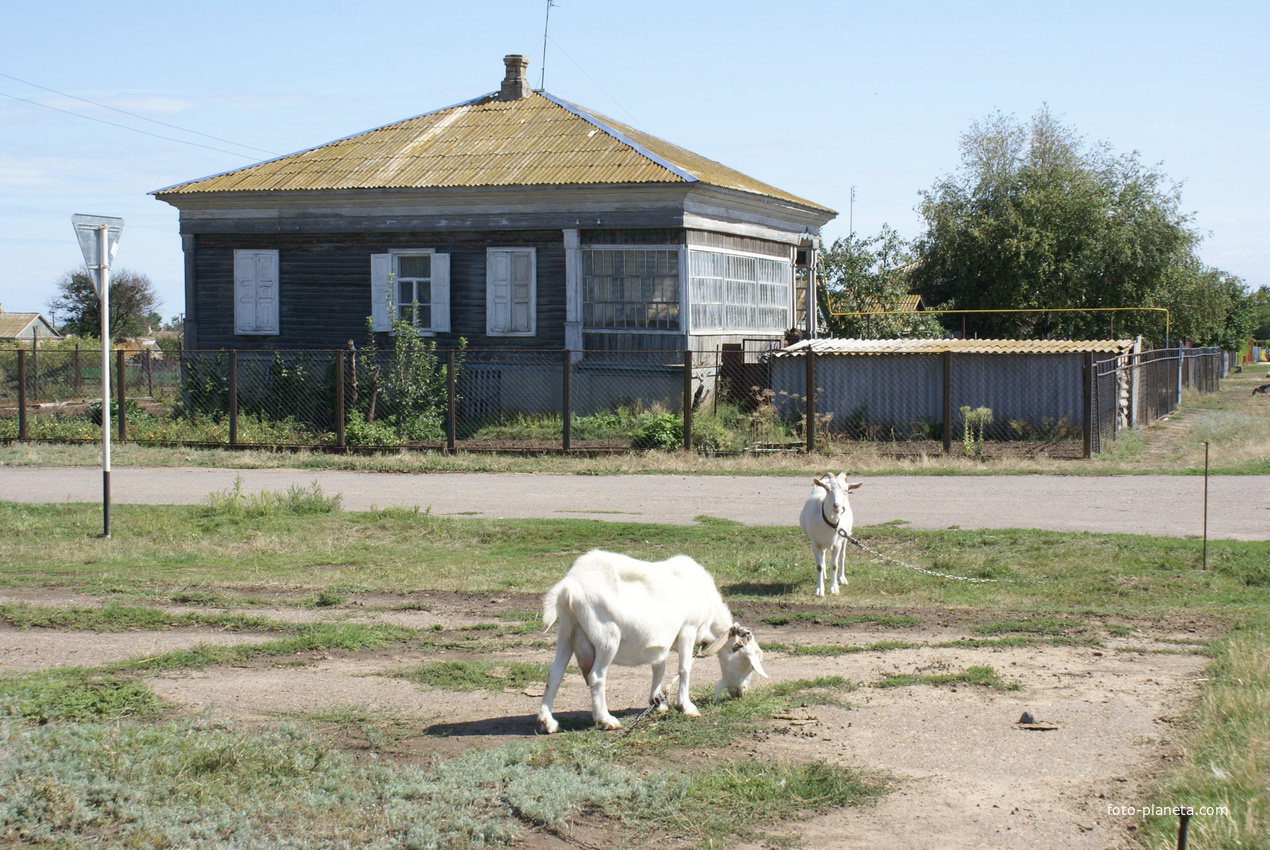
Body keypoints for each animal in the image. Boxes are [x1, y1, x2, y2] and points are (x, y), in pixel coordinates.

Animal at [535, 546, 751, 731]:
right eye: (748, 665)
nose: (741, 692)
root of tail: (570, 585)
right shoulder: (687, 629)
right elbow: (685, 668)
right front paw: (688, 707)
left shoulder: (663, 642)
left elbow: (659, 667)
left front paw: (658, 702)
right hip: (607, 637)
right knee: (596, 676)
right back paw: (606, 720)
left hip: (567, 631)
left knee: (554, 674)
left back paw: (548, 722)